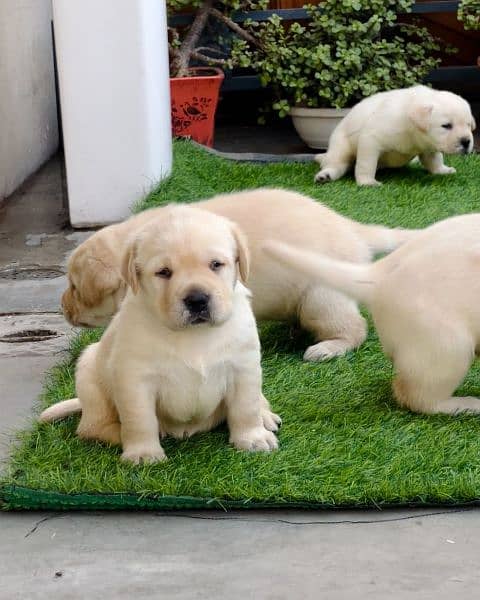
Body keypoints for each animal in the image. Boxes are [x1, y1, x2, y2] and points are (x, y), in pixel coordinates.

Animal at [42, 204, 282, 462]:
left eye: (216, 264)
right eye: (164, 272)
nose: (197, 300)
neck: (194, 335)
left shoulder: (244, 366)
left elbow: (246, 407)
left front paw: (253, 438)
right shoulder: (135, 378)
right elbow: (140, 419)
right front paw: (143, 452)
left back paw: (265, 416)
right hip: (89, 374)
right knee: (92, 426)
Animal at [62, 190, 416, 364]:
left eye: (75, 287)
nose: (62, 307)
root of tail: (352, 230)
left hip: (321, 296)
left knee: (354, 327)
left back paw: (327, 348)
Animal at [314, 85, 474, 185]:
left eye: (468, 125)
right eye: (446, 126)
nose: (466, 141)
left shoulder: (428, 146)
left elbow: (435, 160)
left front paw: (442, 170)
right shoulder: (370, 139)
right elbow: (366, 164)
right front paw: (367, 182)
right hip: (340, 147)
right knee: (336, 164)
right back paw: (325, 175)